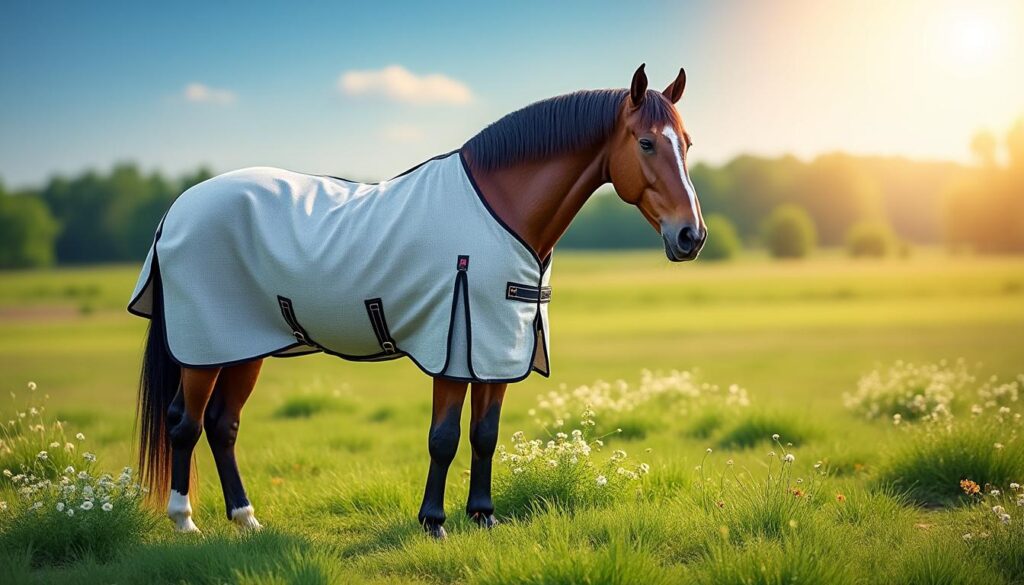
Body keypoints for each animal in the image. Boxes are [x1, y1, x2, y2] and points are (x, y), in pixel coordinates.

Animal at [129, 64, 706, 539]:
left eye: (688, 143)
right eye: (647, 143)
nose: (691, 236)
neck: (502, 209)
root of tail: (176, 212)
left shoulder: (497, 349)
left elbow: (485, 434)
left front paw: (483, 516)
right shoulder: (454, 346)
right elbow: (444, 437)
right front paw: (433, 522)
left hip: (245, 347)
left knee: (222, 425)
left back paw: (246, 519)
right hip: (205, 349)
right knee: (185, 421)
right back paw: (185, 522)